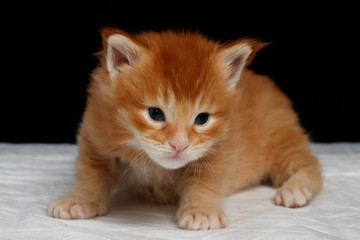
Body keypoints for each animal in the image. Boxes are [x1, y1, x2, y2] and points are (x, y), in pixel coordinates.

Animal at [48, 27, 324, 230]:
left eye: (202, 119)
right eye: (155, 114)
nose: (179, 144)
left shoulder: (222, 150)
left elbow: (205, 182)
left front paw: (201, 211)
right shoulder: (95, 138)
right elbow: (90, 174)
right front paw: (80, 201)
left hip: (282, 140)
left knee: (310, 165)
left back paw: (296, 189)